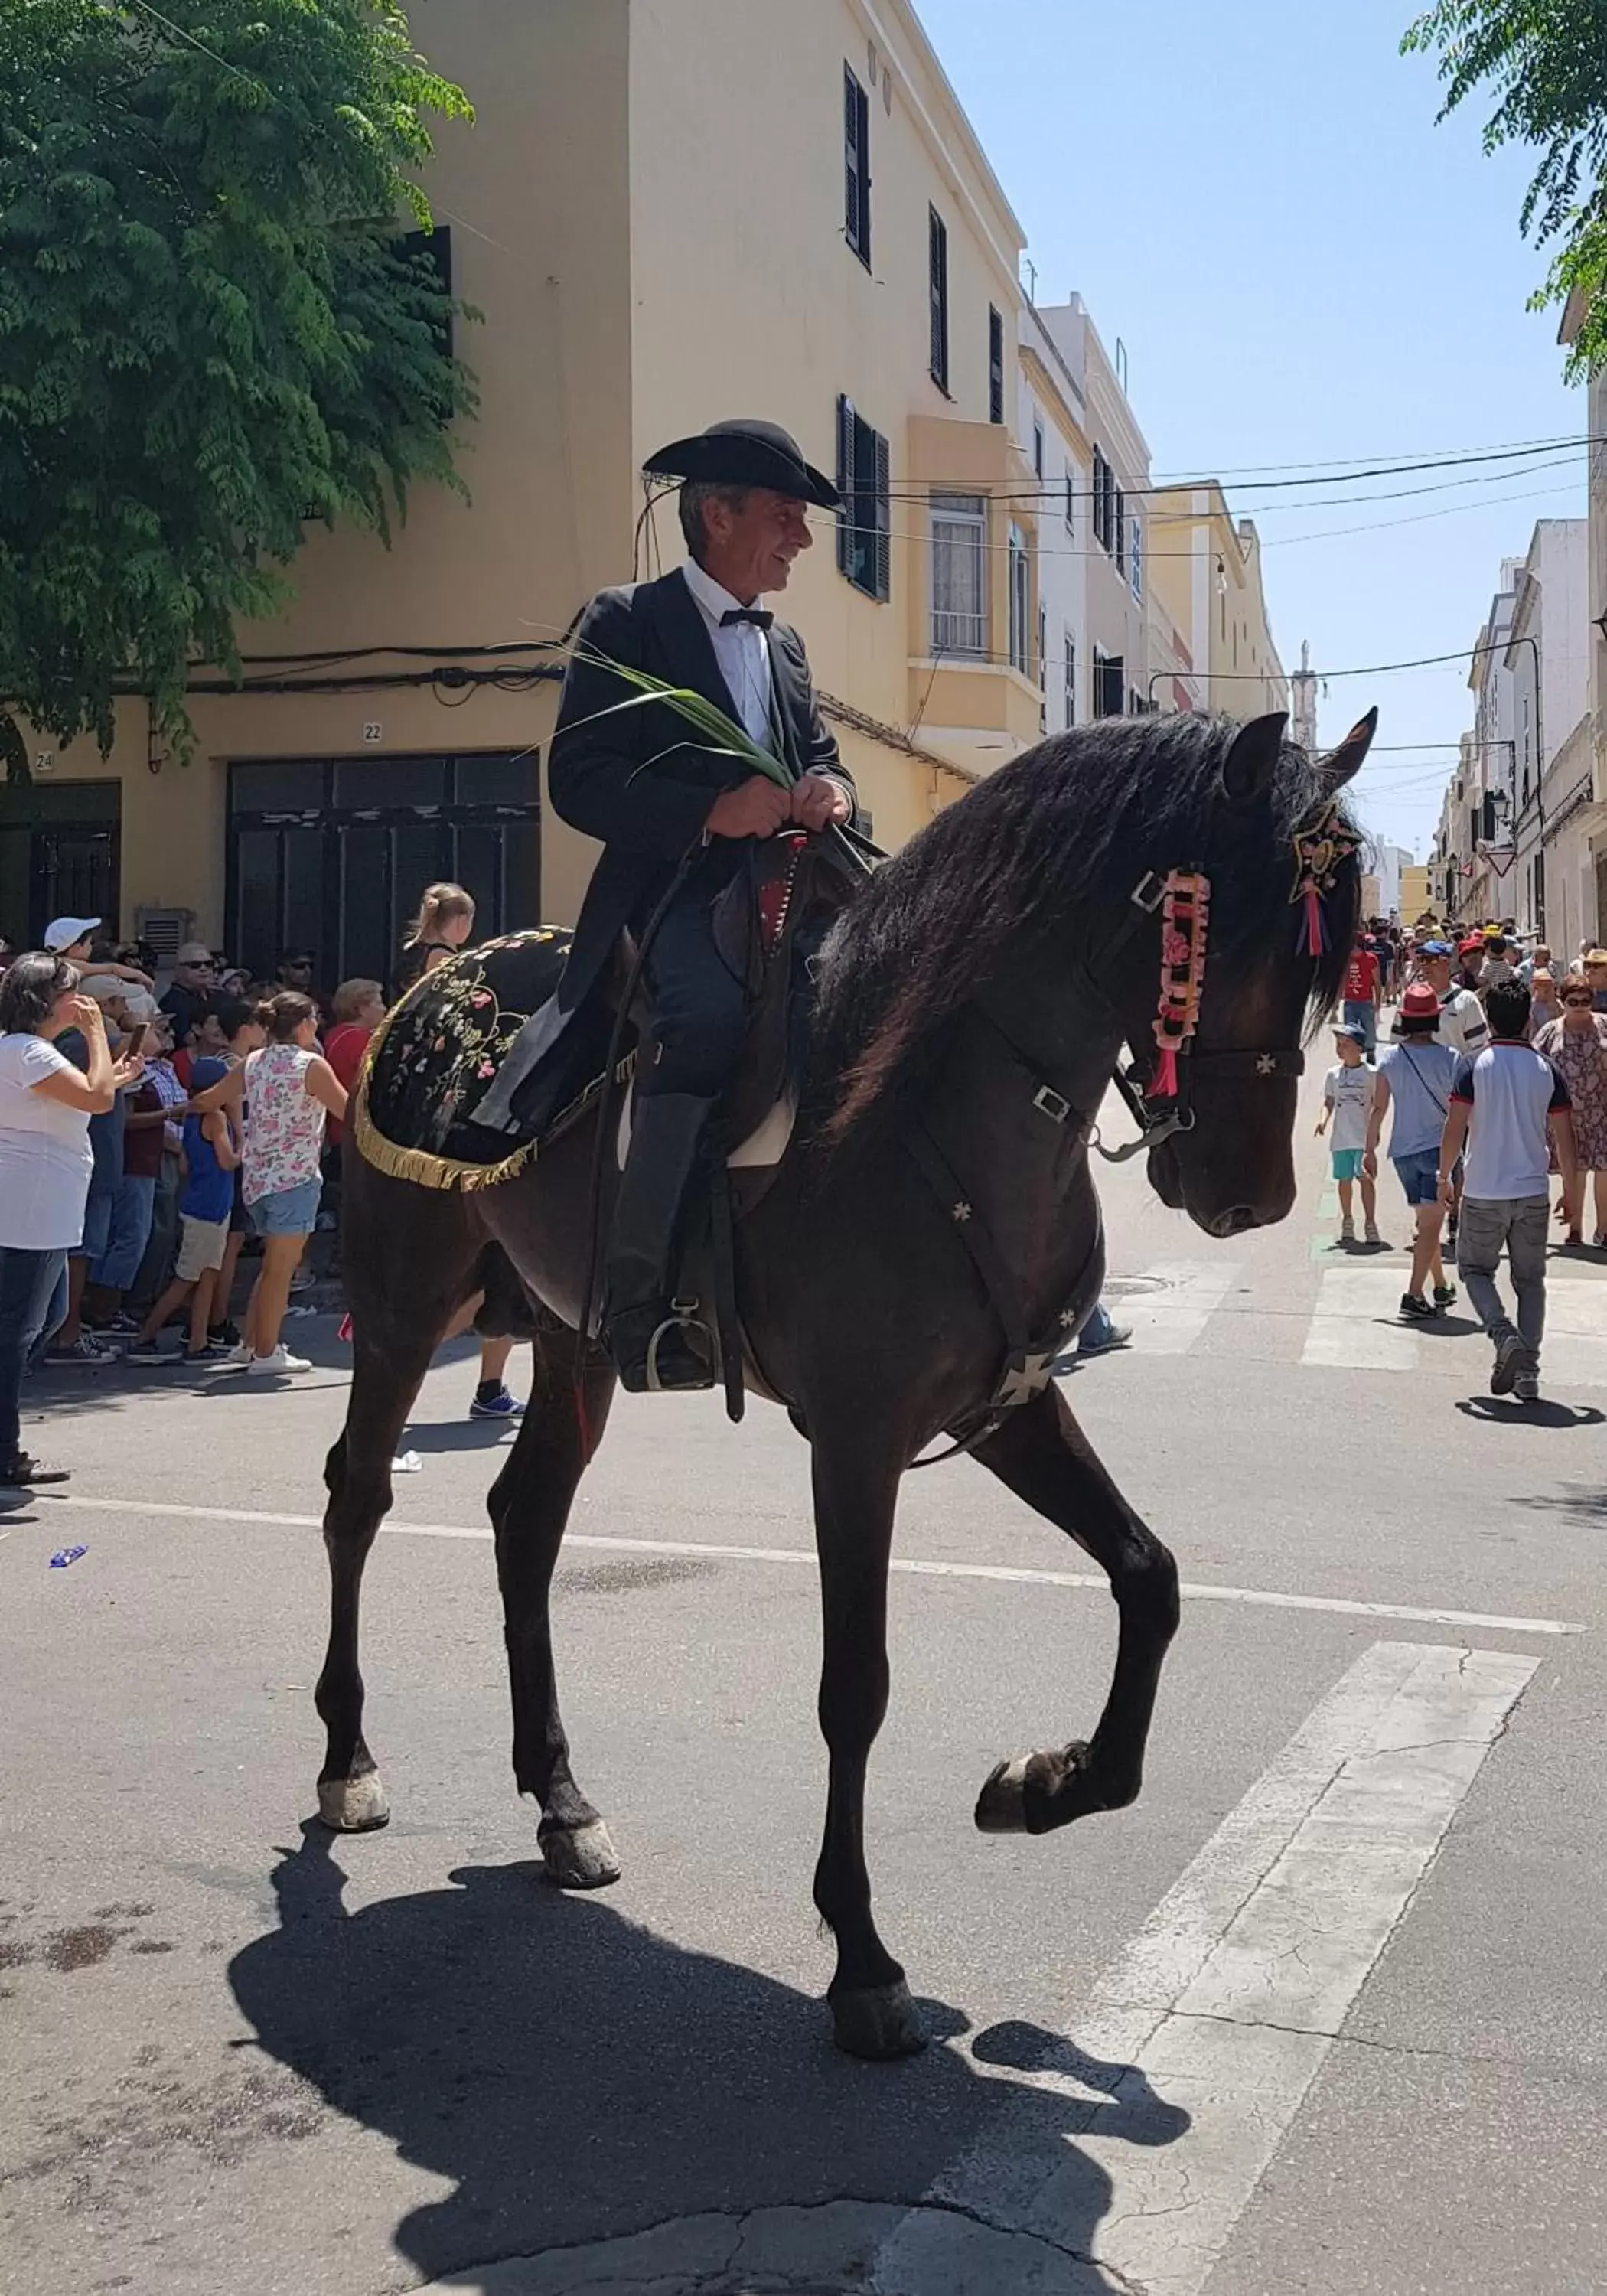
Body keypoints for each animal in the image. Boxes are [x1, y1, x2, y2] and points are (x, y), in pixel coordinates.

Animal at [319, 703, 1377, 2066]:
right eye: (1216, 932)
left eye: (1324, 960)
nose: (1252, 1196)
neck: (937, 1101)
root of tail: (436, 984)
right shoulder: (859, 1442)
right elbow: (856, 1687)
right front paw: (863, 1958)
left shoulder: (1008, 1405)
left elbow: (1150, 1576)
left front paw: (1046, 1785)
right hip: (403, 1310)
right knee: (357, 1500)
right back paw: (347, 1762)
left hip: (571, 1337)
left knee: (525, 1521)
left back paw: (560, 1801)